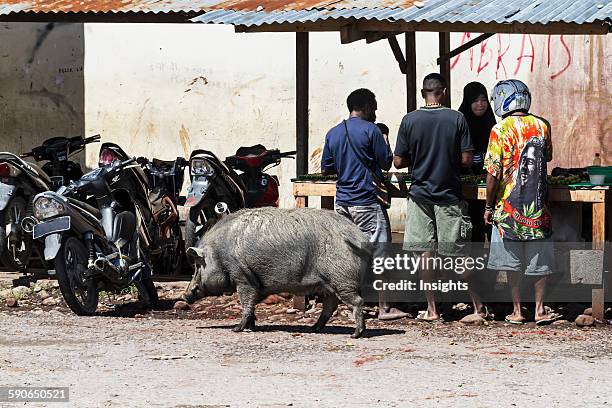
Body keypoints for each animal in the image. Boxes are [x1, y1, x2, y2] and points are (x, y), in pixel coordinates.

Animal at [184, 207, 370, 338]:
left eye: (198, 266)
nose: (184, 295)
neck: (219, 253)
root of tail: (360, 236)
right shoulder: (257, 283)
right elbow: (252, 304)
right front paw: (252, 326)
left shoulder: (242, 276)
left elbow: (246, 301)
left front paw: (236, 329)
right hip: (328, 283)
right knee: (330, 305)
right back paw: (314, 329)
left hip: (342, 279)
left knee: (356, 301)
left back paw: (355, 334)